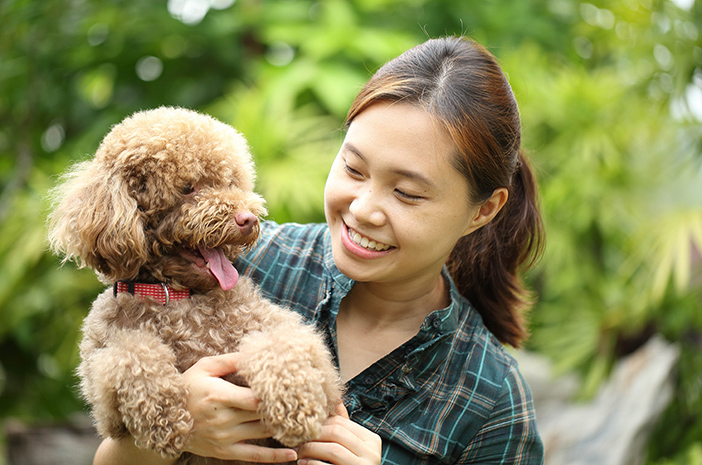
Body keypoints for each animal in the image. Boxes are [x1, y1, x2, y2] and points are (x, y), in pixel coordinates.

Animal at [48, 107, 346, 462]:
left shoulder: (308, 357)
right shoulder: (103, 395)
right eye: (188, 187)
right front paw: (163, 418)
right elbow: (129, 355)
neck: (176, 295)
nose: (248, 220)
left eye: (229, 182)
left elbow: (282, 345)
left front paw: (294, 405)